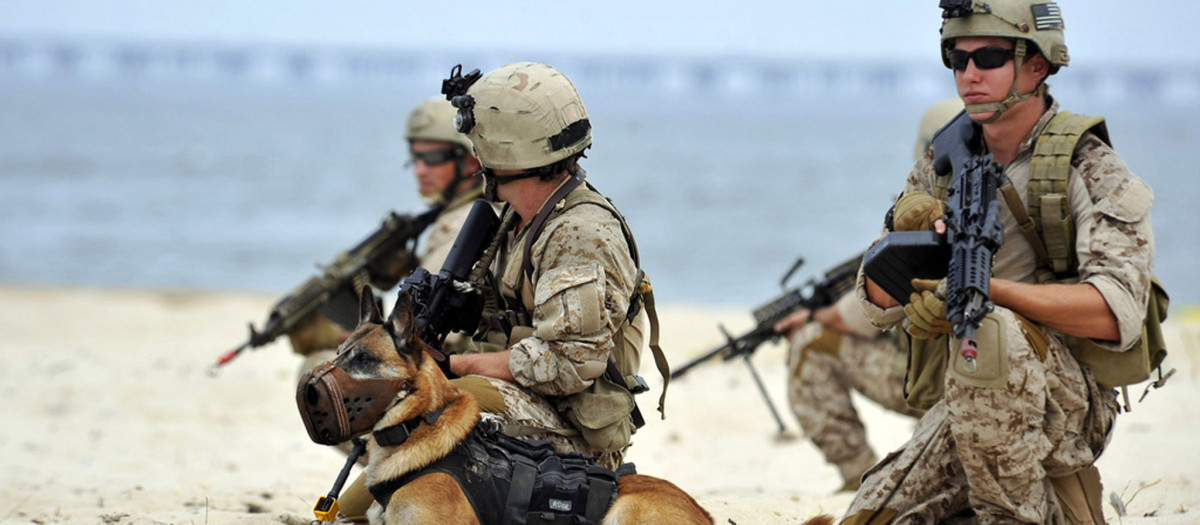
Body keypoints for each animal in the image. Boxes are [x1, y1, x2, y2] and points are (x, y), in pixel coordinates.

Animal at [297, 291, 729, 525]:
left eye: (363, 360)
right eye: (340, 352)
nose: (307, 392)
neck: (418, 425)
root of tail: (706, 514)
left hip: (625, 511)